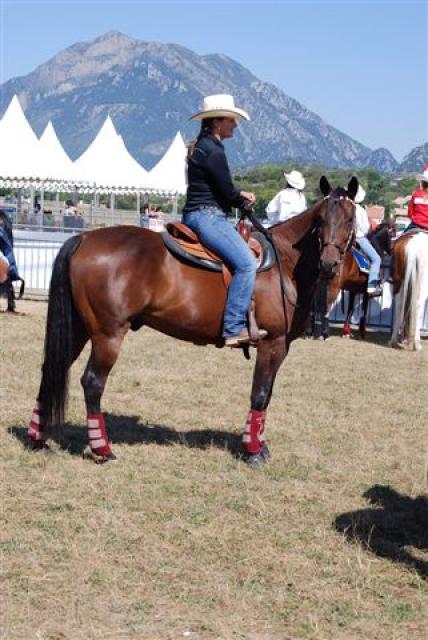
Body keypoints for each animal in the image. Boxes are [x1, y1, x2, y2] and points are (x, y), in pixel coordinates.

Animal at [27, 176, 358, 464]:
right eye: (320, 221)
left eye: (350, 219)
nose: (329, 264)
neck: (285, 264)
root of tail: (83, 238)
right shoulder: (272, 343)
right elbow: (260, 394)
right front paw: (253, 451)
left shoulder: (282, 346)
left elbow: (267, 395)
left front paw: (259, 445)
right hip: (108, 334)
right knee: (93, 382)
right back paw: (103, 449)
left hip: (79, 328)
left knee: (50, 369)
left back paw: (37, 438)